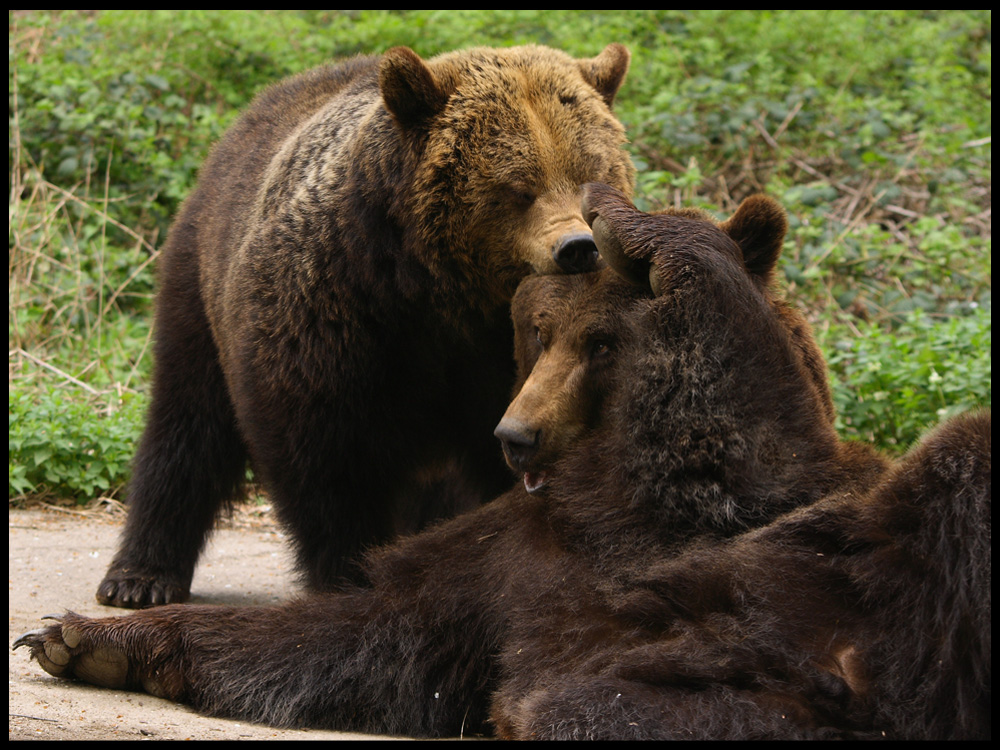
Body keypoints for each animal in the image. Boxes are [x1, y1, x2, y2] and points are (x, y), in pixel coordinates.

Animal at [11, 187, 988, 740]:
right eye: (540, 330)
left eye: (602, 342)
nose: (513, 436)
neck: (598, 484)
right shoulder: (495, 581)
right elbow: (359, 636)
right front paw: (82, 638)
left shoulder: (727, 487)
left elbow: (731, 405)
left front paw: (641, 220)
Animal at [97, 42, 636, 612]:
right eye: (518, 188)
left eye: (592, 174)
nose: (578, 248)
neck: (442, 293)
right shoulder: (336, 310)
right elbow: (326, 456)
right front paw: (349, 571)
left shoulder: (492, 354)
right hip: (198, 280)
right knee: (187, 422)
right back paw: (139, 576)